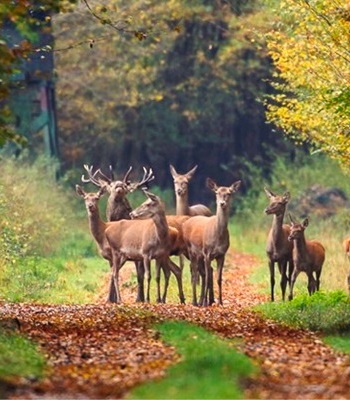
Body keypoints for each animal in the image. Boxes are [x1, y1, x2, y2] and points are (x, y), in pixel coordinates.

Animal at [82, 164, 154, 302]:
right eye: (112, 185)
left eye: (125, 186)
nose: (119, 185)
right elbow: (113, 272)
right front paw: (111, 298)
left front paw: (113, 298)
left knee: (141, 272)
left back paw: (140, 298)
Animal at [180, 178, 241, 306]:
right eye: (217, 192)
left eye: (229, 193)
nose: (222, 203)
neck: (217, 236)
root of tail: (187, 222)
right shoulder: (207, 253)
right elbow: (208, 278)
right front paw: (205, 302)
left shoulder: (222, 254)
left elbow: (218, 278)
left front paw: (220, 302)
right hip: (191, 251)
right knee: (194, 274)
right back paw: (195, 301)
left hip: (199, 255)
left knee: (202, 273)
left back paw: (203, 300)